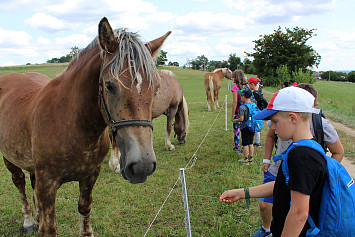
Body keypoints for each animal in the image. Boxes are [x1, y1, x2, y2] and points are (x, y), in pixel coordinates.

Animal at [0, 17, 171, 236]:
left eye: (156, 88)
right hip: (10, 158)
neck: (72, 123)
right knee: (20, 182)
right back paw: (29, 220)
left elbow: (84, 208)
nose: (142, 166)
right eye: (109, 85)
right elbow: (49, 227)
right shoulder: (47, 184)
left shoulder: (90, 175)